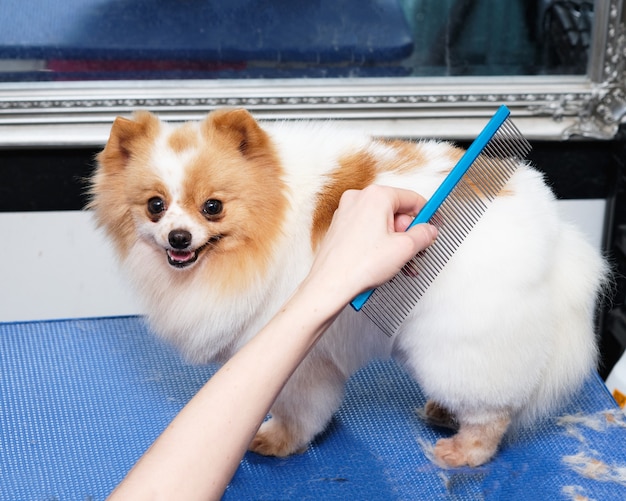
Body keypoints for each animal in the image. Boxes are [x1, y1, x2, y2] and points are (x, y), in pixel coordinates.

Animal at [90, 107, 608, 466]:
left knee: (491, 409)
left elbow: (299, 410)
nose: (178, 238)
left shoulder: (300, 358)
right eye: (155, 205)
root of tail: (554, 230)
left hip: (459, 340)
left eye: (212, 207)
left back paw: (465, 449)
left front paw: (279, 439)